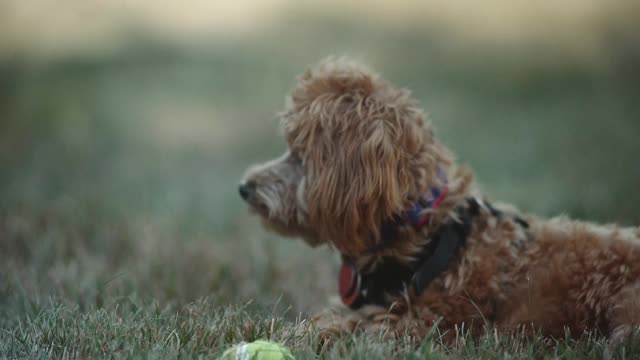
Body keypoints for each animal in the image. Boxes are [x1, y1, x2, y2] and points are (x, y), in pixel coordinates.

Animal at [236, 57, 640, 344]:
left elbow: (355, 327)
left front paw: (292, 334)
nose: (244, 188)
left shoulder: (426, 324)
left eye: (297, 155)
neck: (424, 230)